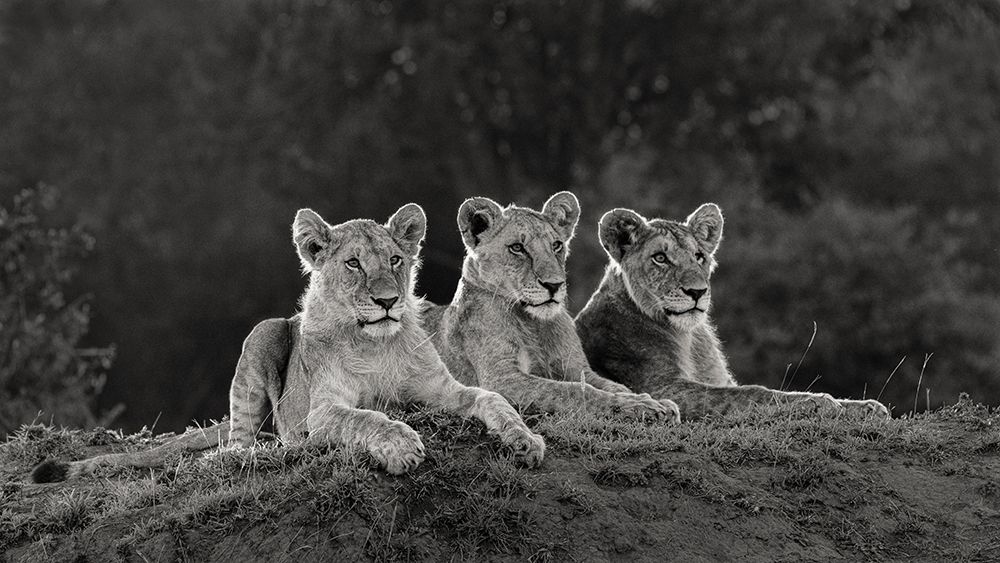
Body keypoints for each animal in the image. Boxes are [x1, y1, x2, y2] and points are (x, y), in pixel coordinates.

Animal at [30, 204, 543, 483]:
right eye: (354, 264)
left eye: (396, 260)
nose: (387, 301)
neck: (376, 344)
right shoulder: (323, 412)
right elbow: (370, 417)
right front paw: (401, 446)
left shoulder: (441, 389)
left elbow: (492, 398)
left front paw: (525, 438)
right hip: (265, 334)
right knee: (240, 442)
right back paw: (261, 449)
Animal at [421, 191, 679, 422]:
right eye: (517, 248)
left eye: (556, 245)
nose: (554, 285)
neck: (533, 323)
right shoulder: (502, 378)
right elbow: (573, 391)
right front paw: (638, 406)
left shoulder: (579, 369)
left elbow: (614, 386)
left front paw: (652, 401)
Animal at [574, 203, 889, 420]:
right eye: (660, 258)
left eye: (699, 256)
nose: (697, 292)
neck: (689, 336)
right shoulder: (661, 388)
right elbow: (750, 393)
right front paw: (818, 402)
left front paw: (865, 406)